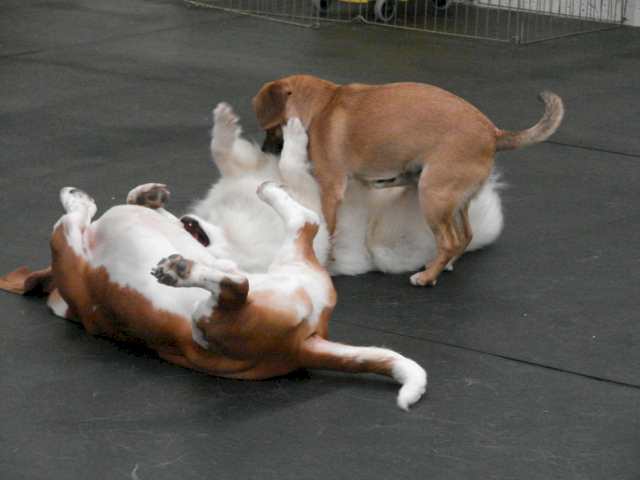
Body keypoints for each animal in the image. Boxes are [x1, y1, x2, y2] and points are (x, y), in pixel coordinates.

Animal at [0, 180, 427, 410]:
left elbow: (76, 214)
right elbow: (72, 217)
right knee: (265, 259)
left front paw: (140, 194)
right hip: (232, 307)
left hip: (238, 300)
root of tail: (306, 341)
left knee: (258, 263)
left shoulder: (66, 246)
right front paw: (88, 199)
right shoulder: (68, 250)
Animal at [192, 103, 504, 277]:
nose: (187, 220)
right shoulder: (311, 203)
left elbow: (221, 150)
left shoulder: (246, 171)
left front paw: (224, 120)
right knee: (451, 233)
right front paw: (294, 134)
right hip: (388, 243)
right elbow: (290, 164)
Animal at [253, 75, 564, 285]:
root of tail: (494, 134)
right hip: (455, 201)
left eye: (270, 129)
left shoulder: (330, 189)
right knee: (465, 236)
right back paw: (443, 265)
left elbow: (330, 228)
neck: (322, 106)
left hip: (433, 196)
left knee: (450, 240)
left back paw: (426, 277)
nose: (265, 150)